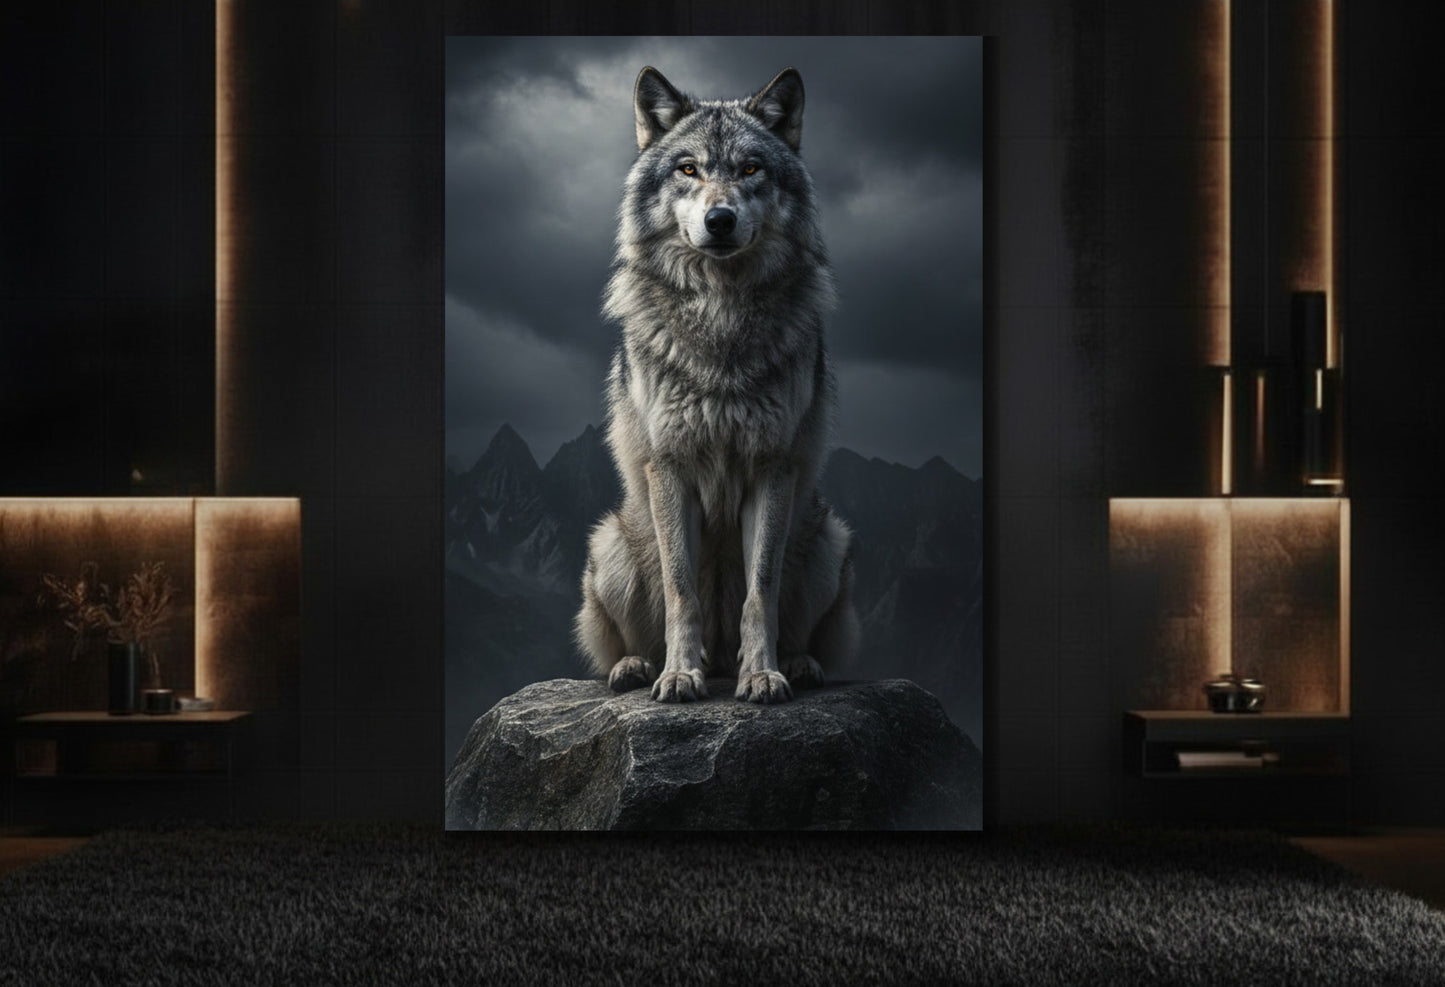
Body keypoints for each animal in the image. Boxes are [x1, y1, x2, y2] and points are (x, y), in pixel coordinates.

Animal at [573, 65, 860, 704]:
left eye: (750, 169)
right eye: (688, 169)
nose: (720, 219)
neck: (721, 317)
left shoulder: (771, 466)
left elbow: (762, 591)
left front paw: (763, 674)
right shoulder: (669, 465)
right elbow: (682, 591)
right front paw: (681, 674)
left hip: (828, 542)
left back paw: (794, 663)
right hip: (610, 545)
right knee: (630, 640)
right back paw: (639, 667)